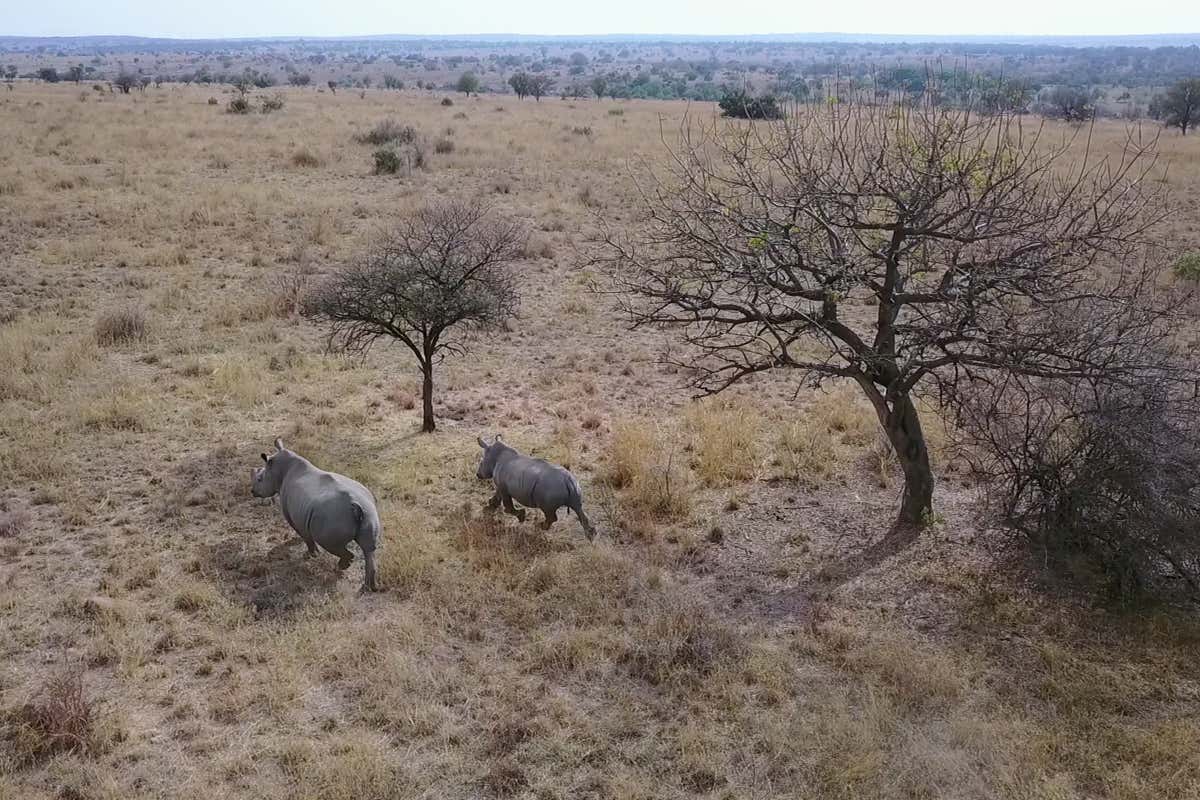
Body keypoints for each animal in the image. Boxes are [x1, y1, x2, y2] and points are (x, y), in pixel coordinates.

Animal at [251, 438, 381, 592]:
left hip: (332, 517)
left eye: (259, 479)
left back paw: (341, 567)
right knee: (369, 549)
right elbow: (305, 534)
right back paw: (369, 587)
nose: (252, 491)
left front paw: (311, 555)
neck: (278, 470)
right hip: (369, 511)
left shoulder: (291, 514)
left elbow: (305, 536)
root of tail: (355, 504)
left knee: (332, 545)